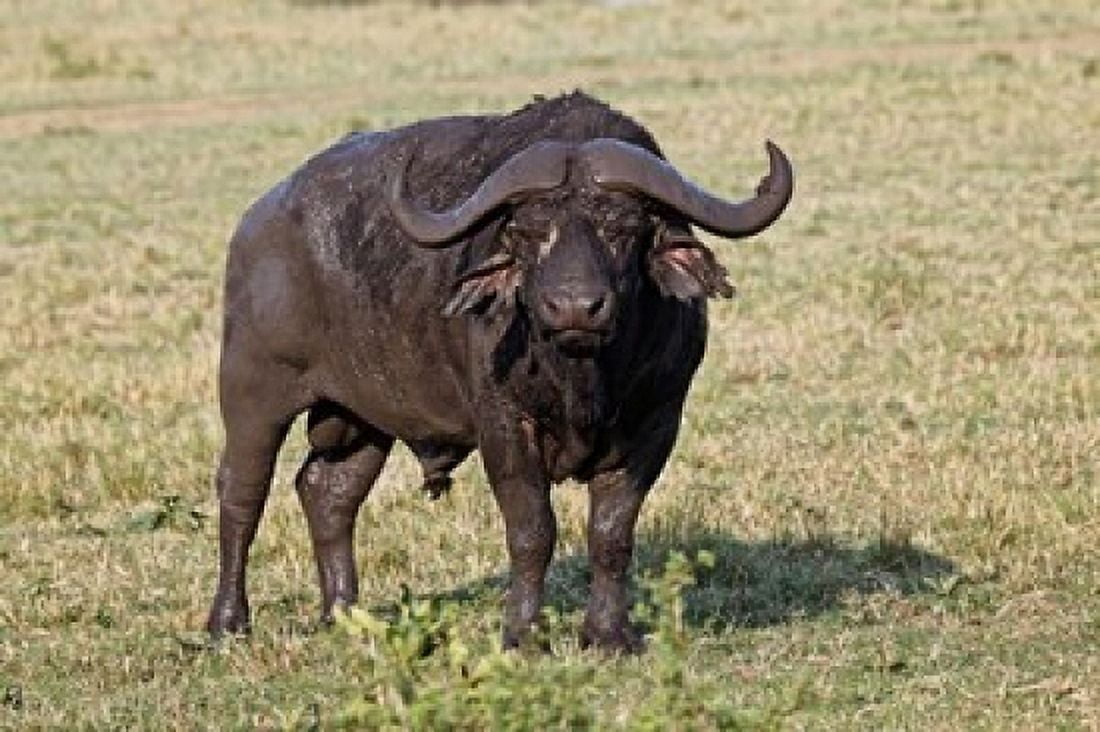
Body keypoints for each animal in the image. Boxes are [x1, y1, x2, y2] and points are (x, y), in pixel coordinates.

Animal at [206, 91, 793, 652]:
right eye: (528, 231)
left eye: (623, 227)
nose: (575, 308)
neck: (581, 375)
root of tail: (256, 223)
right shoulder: (505, 426)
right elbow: (533, 532)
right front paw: (524, 636)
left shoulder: (656, 422)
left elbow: (611, 534)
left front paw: (609, 635)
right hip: (252, 391)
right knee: (243, 492)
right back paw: (227, 623)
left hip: (360, 418)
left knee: (328, 492)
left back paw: (344, 616)